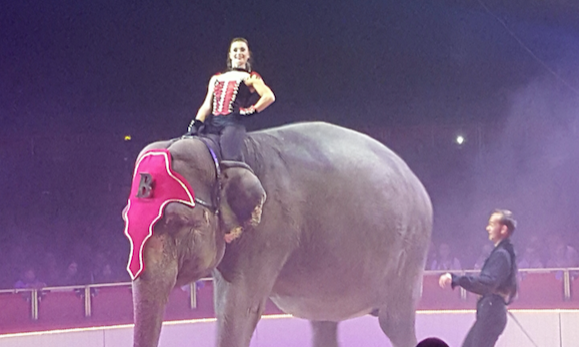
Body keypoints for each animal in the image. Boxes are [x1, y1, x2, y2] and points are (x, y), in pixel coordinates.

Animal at [124, 121, 432, 347]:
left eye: (177, 222)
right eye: (126, 223)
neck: (224, 153)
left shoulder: (269, 229)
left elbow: (238, 309)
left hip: (410, 255)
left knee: (395, 323)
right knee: (324, 320)